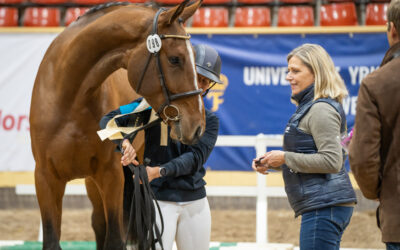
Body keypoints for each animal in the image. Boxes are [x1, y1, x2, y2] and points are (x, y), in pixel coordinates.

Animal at [28, 0, 203, 249]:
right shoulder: (45, 179)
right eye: (175, 59)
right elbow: (52, 239)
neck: (69, 98)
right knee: (98, 223)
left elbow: (115, 238)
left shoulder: (111, 175)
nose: (198, 125)